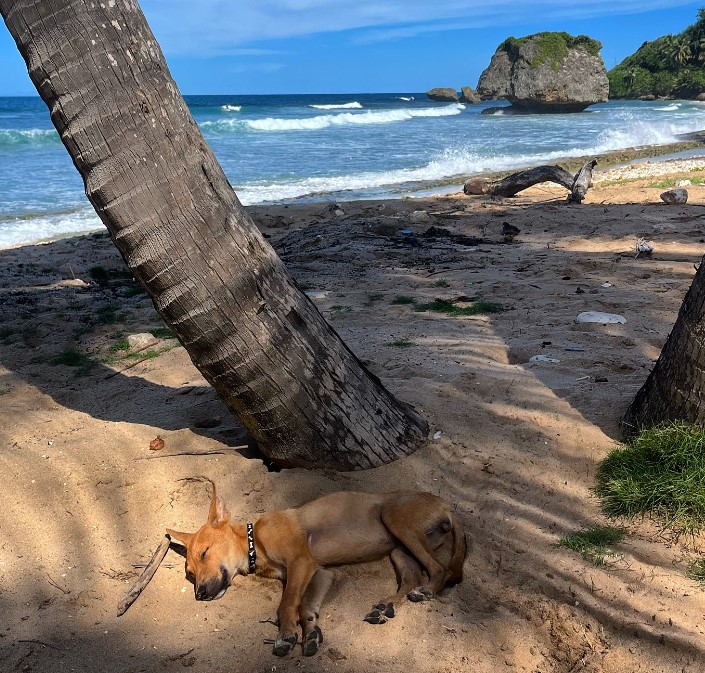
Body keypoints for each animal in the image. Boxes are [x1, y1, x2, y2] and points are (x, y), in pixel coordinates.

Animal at [166, 484, 468, 656]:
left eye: (205, 553)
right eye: (190, 573)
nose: (200, 594)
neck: (255, 542)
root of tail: (445, 504)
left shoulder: (302, 562)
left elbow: (286, 605)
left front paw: (285, 635)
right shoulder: (321, 572)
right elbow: (305, 607)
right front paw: (310, 633)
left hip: (396, 520)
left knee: (439, 570)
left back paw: (426, 591)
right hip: (398, 548)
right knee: (411, 577)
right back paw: (385, 606)